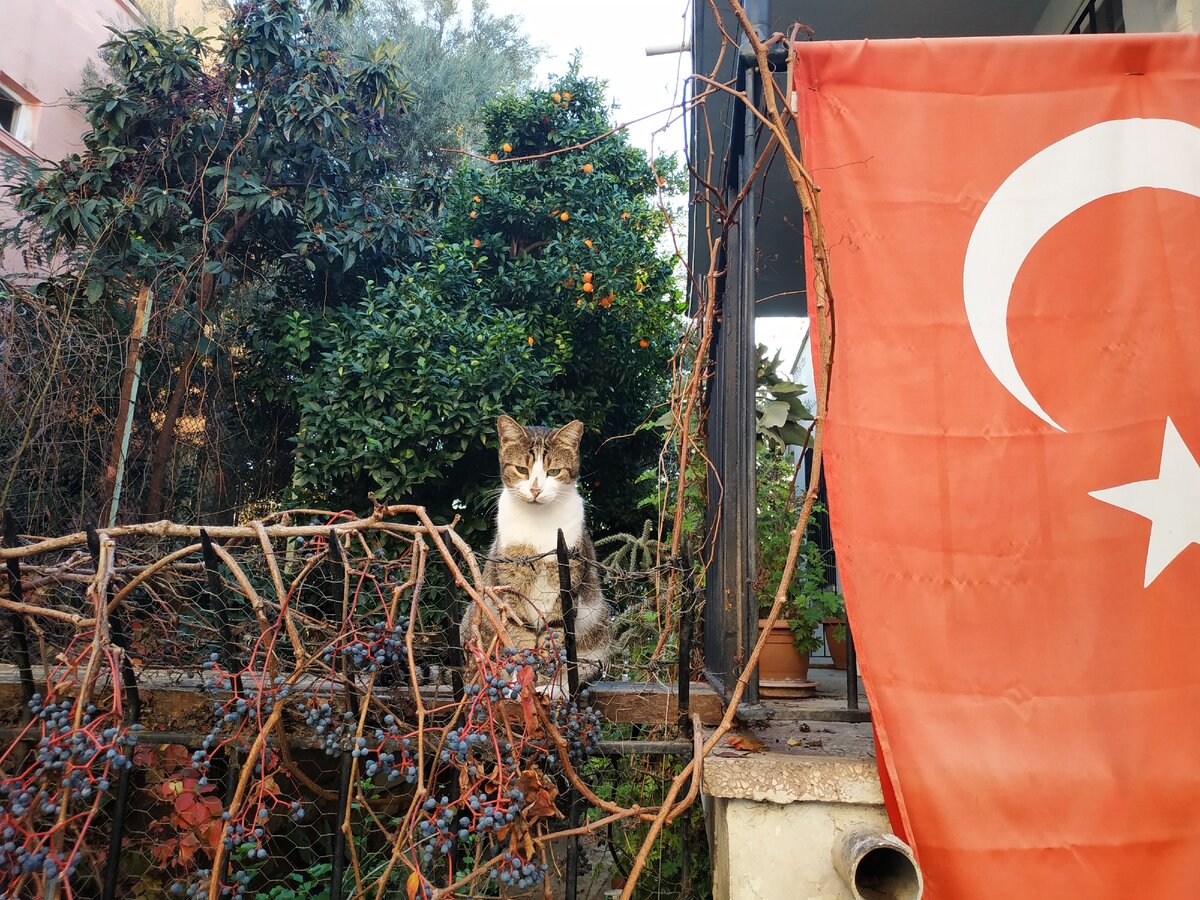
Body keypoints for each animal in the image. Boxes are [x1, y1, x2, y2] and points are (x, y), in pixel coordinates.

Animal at [458, 415, 609, 691]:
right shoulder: (511, 587)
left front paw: (547, 688)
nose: (536, 489)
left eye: (554, 472)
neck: (539, 523)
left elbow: (554, 636)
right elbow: (521, 634)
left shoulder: (567, 585)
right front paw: (525, 682)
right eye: (521, 470)